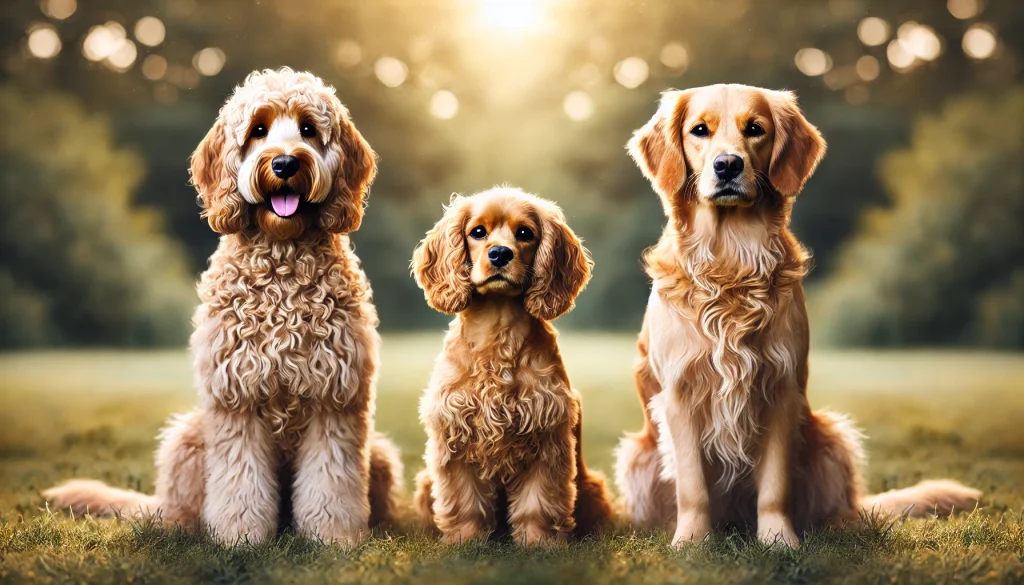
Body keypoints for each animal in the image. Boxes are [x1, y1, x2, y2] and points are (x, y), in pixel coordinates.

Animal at [45, 69, 403, 549]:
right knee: (179, 512)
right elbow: (240, 482)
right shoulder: (237, 398)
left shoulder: (336, 400)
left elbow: (330, 482)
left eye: (309, 129)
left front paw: (332, 537)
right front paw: (240, 538)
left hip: (377, 452)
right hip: (188, 438)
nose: (285, 164)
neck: (283, 259)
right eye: (258, 129)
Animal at [411, 189, 610, 549]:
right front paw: (464, 541)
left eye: (525, 233)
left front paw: (539, 544)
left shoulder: (547, 438)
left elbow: (539, 503)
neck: (497, 332)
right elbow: (463, 502)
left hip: (591, 488)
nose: (500, 253)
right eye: (478, 232)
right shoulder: (454, 435)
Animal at [610, 84, 978, 549]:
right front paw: (692, 542)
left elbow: (774, 485)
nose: (727, 164)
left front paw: (778, 540)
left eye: (755, 129)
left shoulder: (780, 388)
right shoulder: (679, 393)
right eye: (699, 130)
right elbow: (693, 487)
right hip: (637, 456)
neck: (730, 260)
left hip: (831, 437)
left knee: (841, 508)